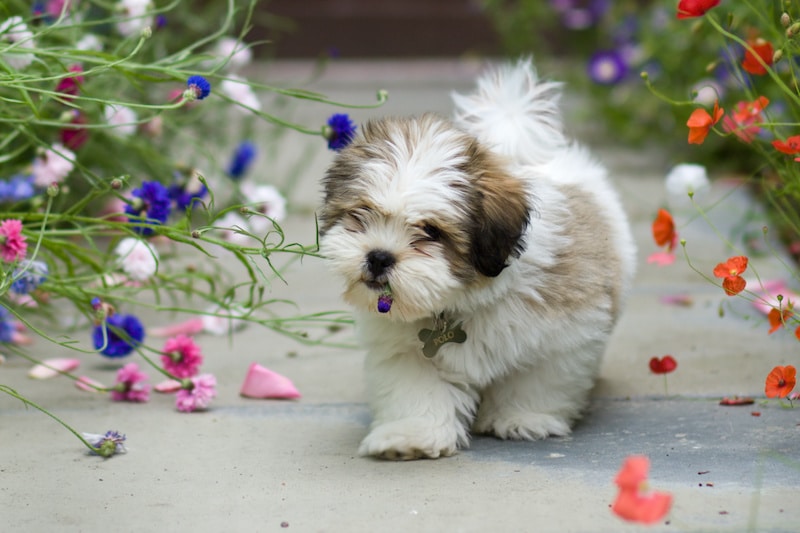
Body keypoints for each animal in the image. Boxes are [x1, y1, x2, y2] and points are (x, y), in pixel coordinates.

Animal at [318, 57, 636, 458]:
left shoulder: (562, 334)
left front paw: (523, 418)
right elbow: (417, 390)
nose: (378, 257)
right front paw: (412, 435)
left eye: (431, 232)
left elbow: (537, 379)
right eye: (361, 214)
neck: (461, 300)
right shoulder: (406, 352)